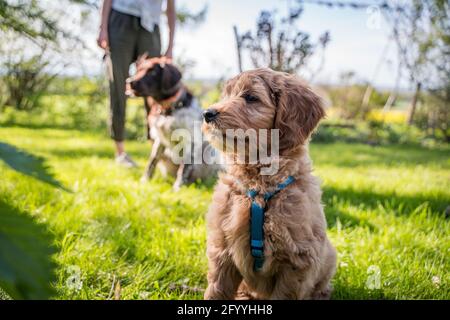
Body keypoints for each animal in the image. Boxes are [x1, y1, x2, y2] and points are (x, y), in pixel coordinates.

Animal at [202, 67, 336, 300]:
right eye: (226, 95)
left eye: (250, 97)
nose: (207, 113)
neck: (259, 186)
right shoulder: (222, 249)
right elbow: (216, 290)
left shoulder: (297, 260)